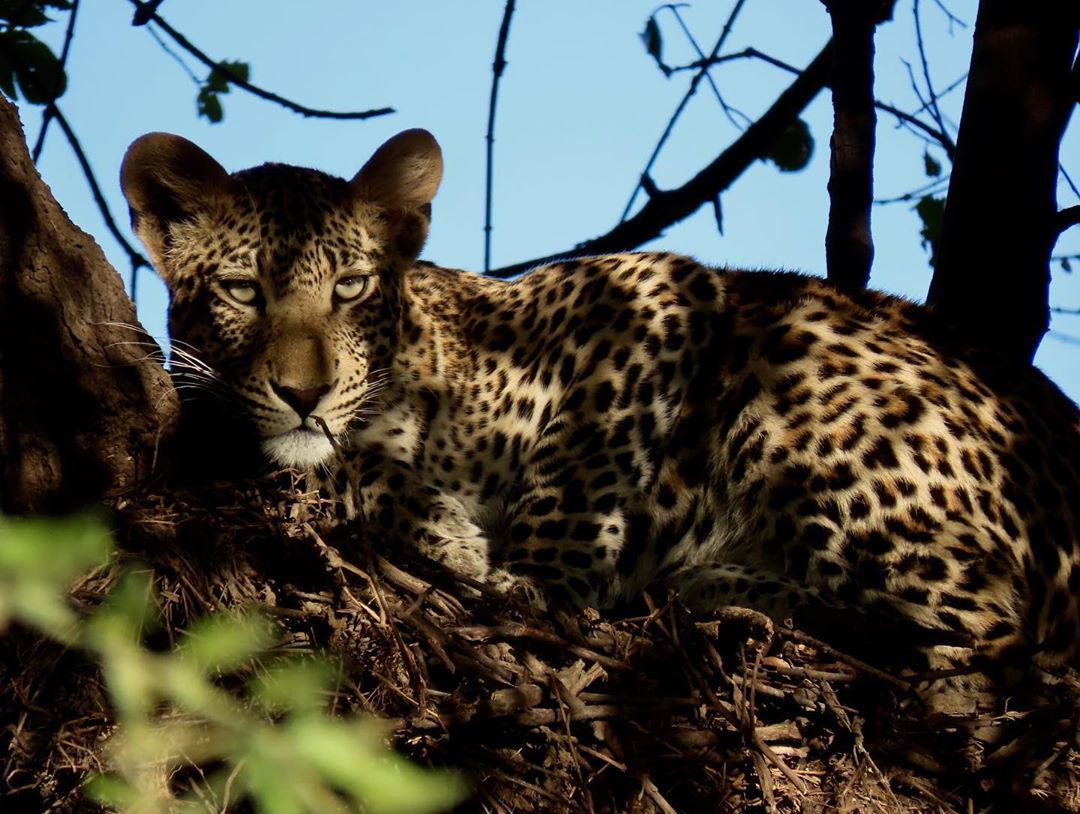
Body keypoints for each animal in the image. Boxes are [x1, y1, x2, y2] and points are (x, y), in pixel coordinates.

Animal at [121, 128, 1080, 694]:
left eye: (351, 287)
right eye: (243, 291)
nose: (304, 393)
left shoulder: (650, 291)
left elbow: (580, 467)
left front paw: (534, 584)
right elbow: (334, 461)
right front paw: (443, 530)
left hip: (801, 397)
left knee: (993, 634)